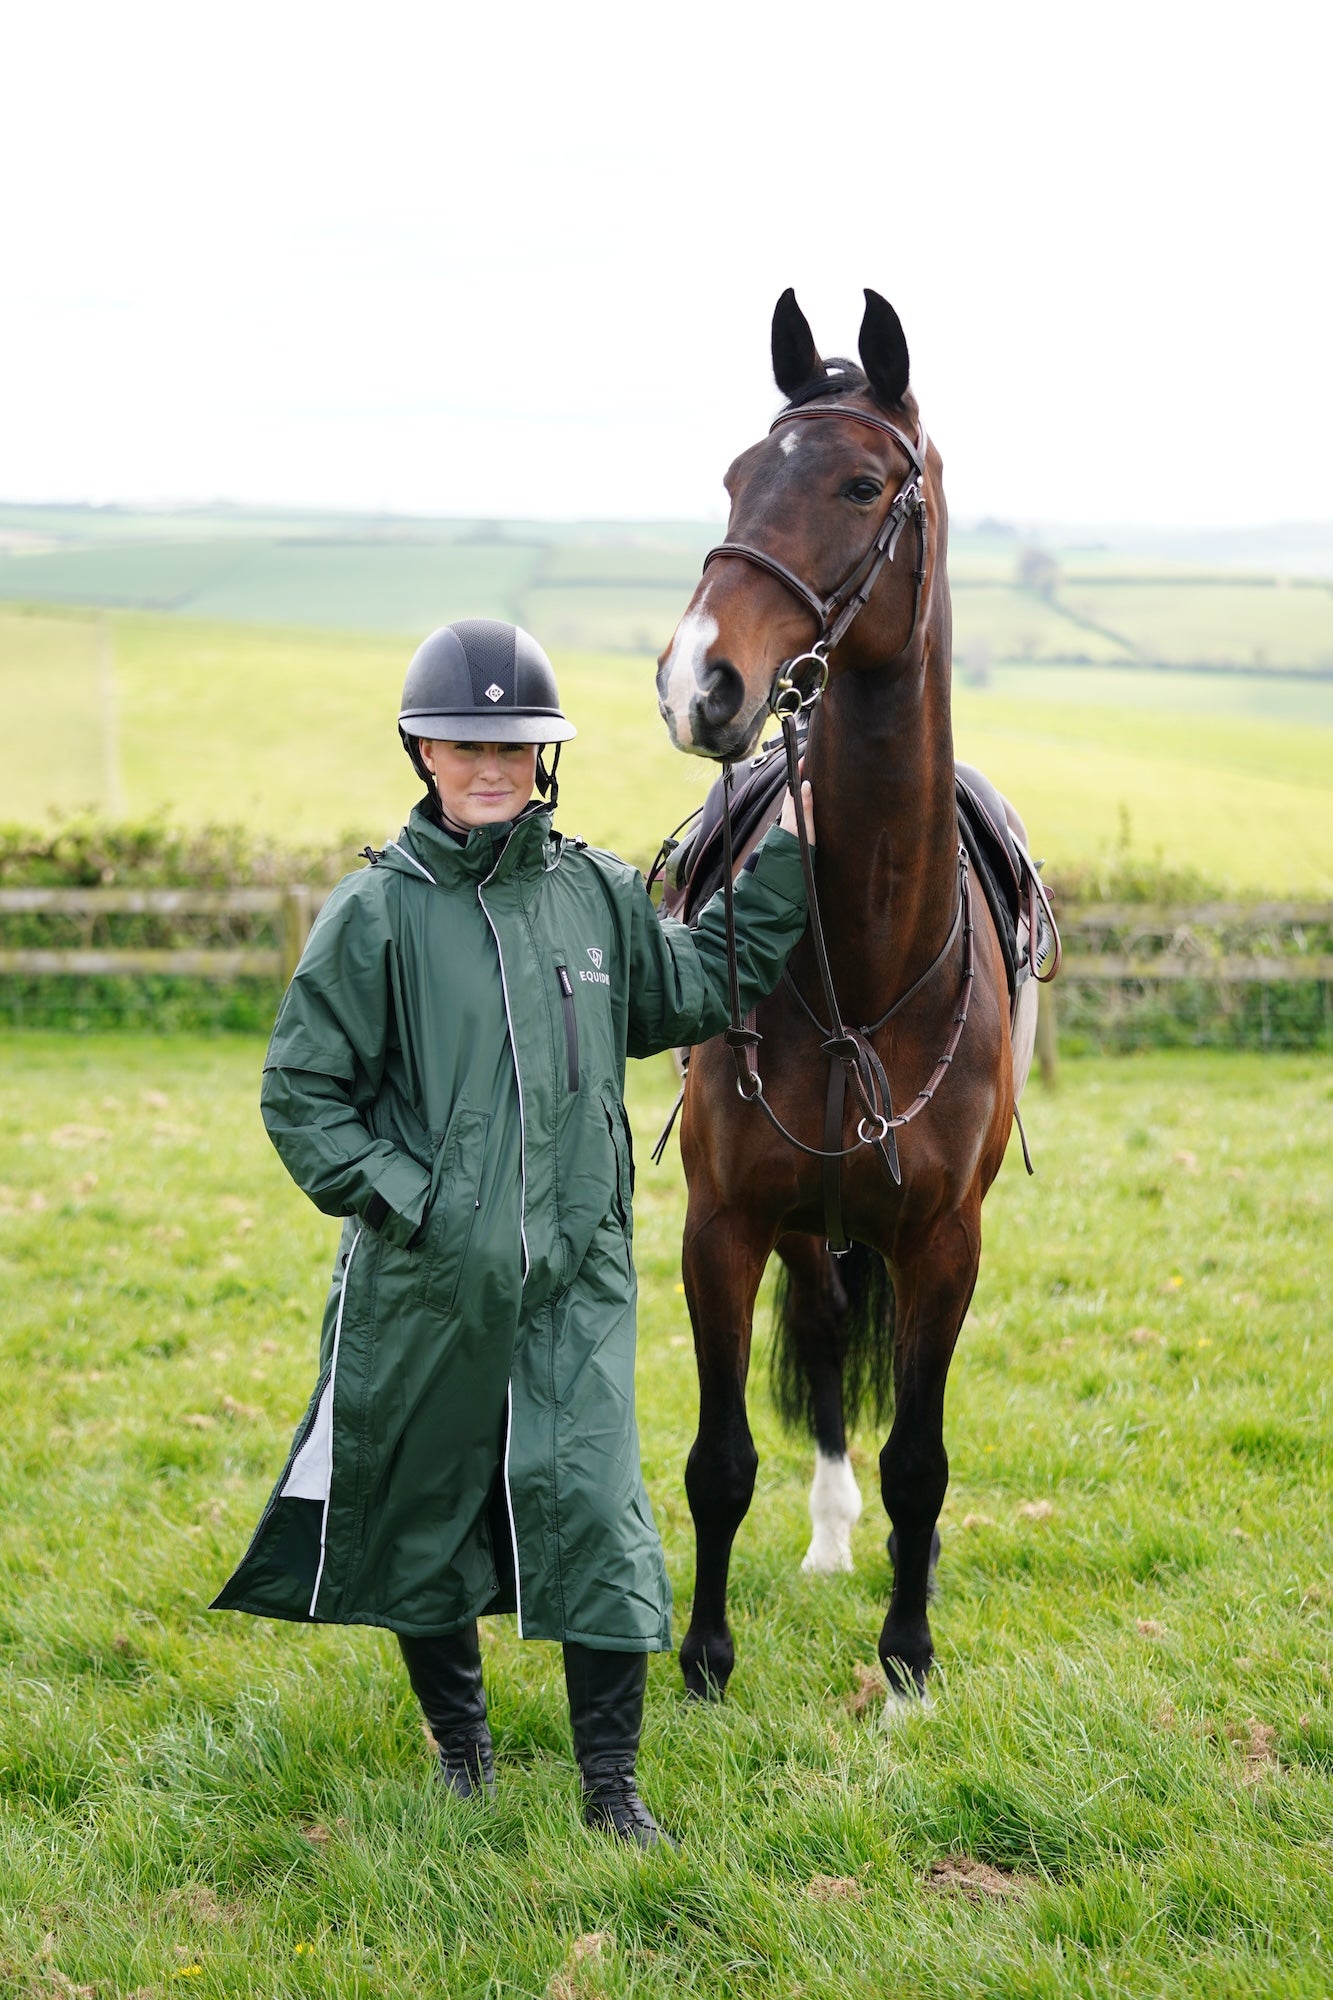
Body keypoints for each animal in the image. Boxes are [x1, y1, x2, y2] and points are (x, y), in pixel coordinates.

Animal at [652, 282, 1048, 1720]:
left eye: (861, 482)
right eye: (734, 477)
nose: (699, 679)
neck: (873, 965)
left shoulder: (945, 1243)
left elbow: (921, 1459)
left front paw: (909, 1654)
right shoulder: (721, 1224)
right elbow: (718, 1459)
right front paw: (704, 1659)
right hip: (801, 1223)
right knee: (822, 1339)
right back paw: (826, 1535)